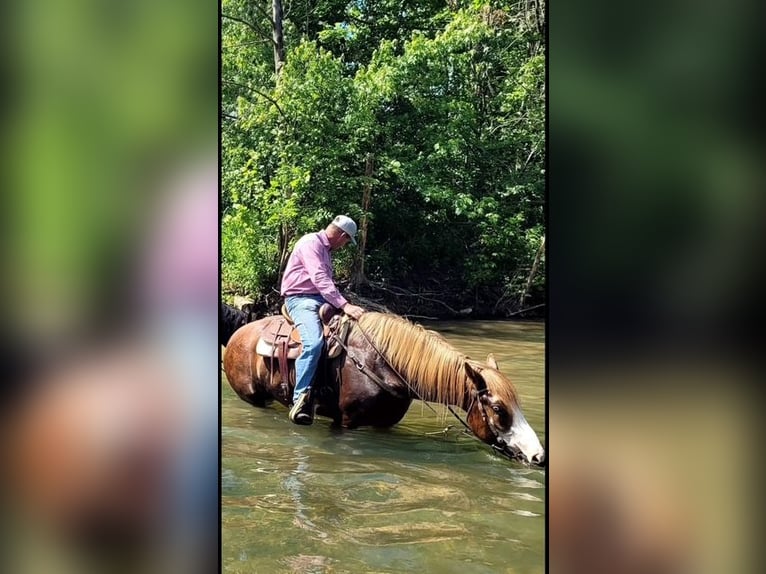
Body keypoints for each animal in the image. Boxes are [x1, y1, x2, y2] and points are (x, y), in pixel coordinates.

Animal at [223, 311, 545, 466]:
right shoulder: (346, 422)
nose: (538, 457)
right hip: (253, 399)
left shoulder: (384, 424)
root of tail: (240, 333)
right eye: (498, 409)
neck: (384, 364)